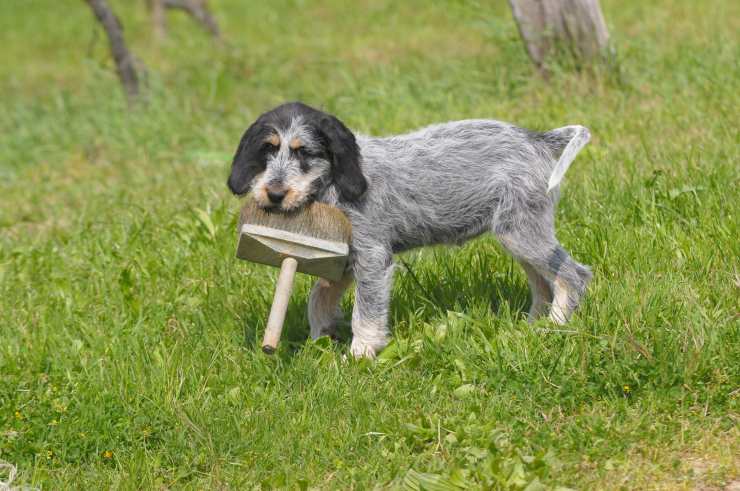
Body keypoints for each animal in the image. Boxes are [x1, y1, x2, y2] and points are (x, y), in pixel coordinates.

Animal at [228, 102, 592, 360]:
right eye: (267, 150)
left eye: (304, 152)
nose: (274, 194)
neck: (333, 185)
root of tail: (537, 138)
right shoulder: (346, 259)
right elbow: (319, 297)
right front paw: (321, 339)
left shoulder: (372, 258)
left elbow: (365, 314)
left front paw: (358, 355)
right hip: (519, 236)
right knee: (543, 283)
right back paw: (530, 327)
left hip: (523, 233)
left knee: (573, 275)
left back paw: (554, 327)